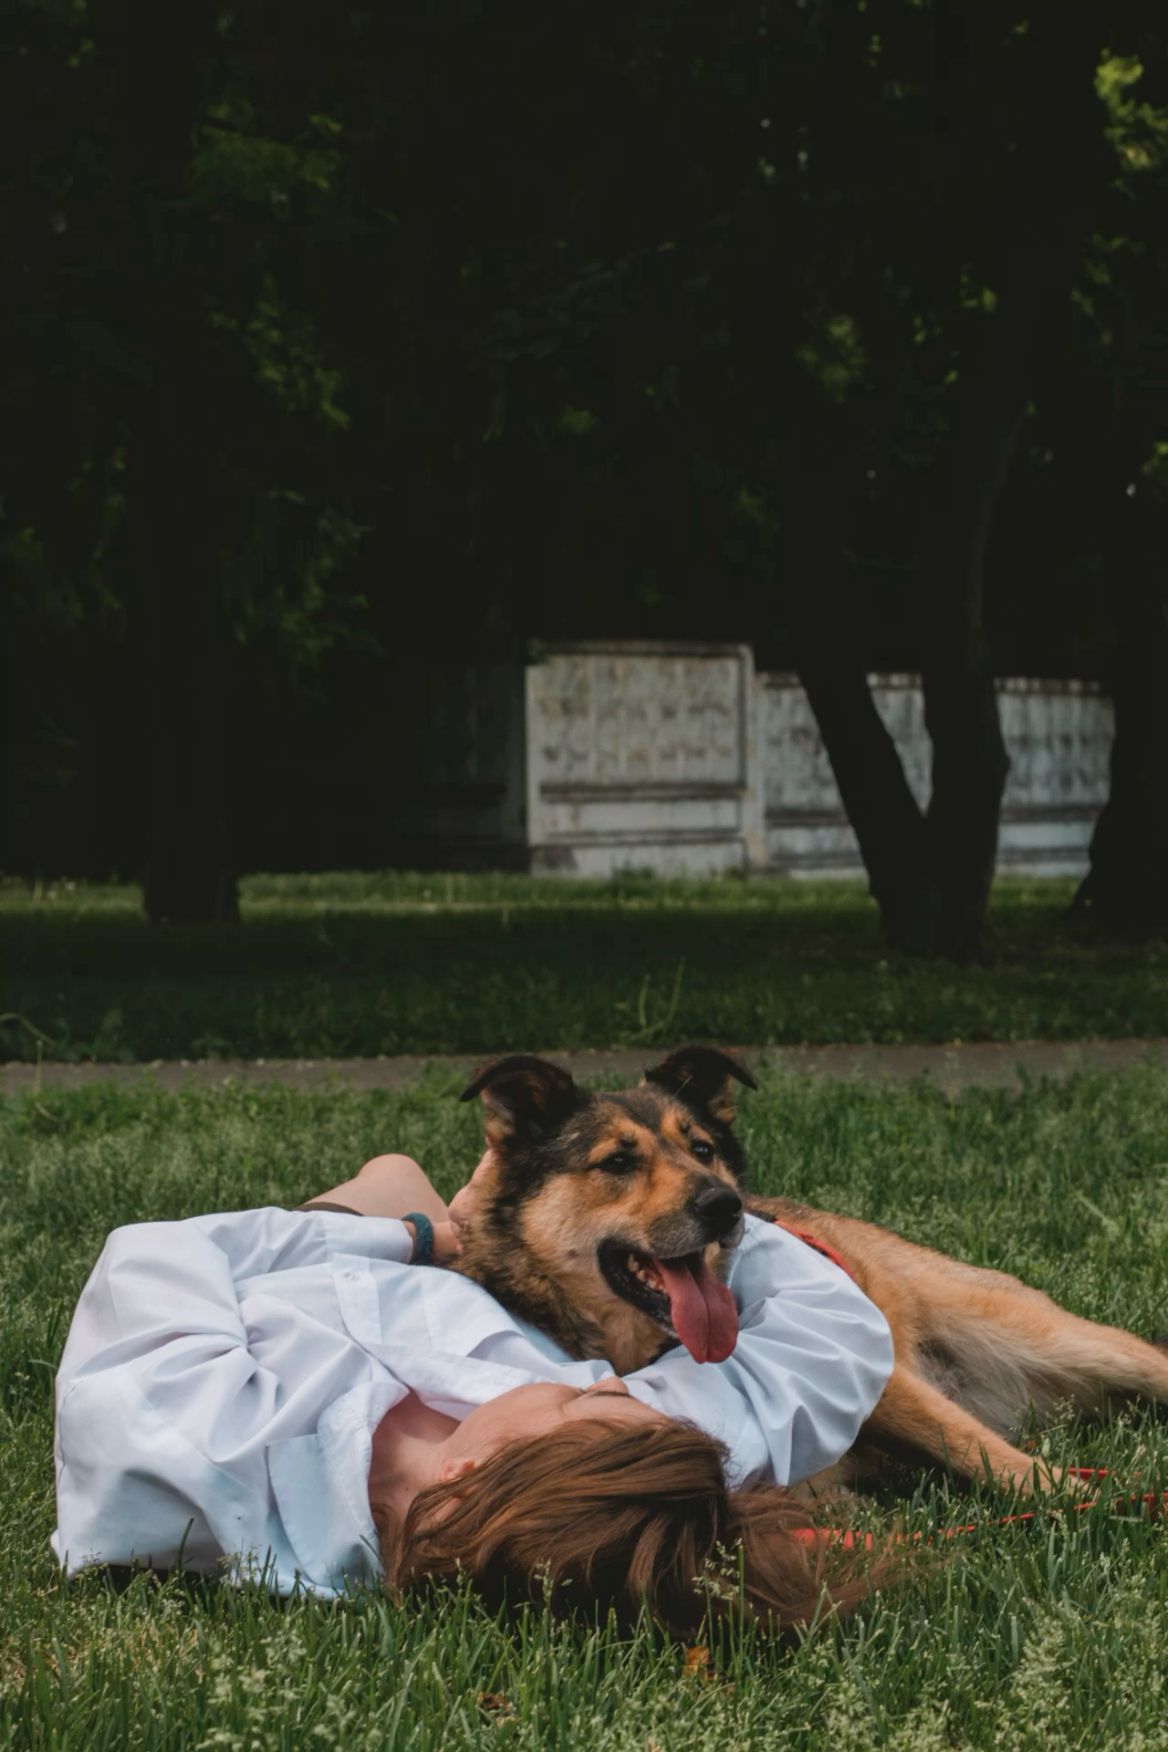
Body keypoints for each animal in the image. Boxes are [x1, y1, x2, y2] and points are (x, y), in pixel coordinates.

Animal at [455, 1037, 1168, 1492]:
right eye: (618, 1161)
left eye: (703, 1149)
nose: (725, 1205)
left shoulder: (886, 1383)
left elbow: (986, 1454)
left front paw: (1086, 1502)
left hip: (1046, 1335)